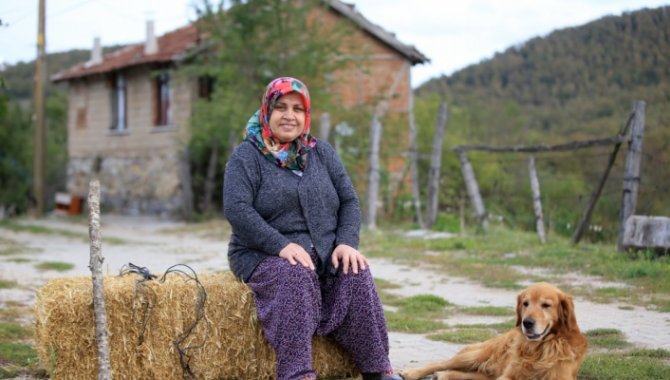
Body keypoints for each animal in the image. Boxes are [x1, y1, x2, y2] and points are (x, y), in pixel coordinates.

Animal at [402, 282, 592, 380]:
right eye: (526, 303)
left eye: (546, 305)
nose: (527, 322)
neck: (539, 349)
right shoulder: (509, 376)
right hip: (477, 355)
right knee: (442, 363)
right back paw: (413, 373)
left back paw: (443, 375)